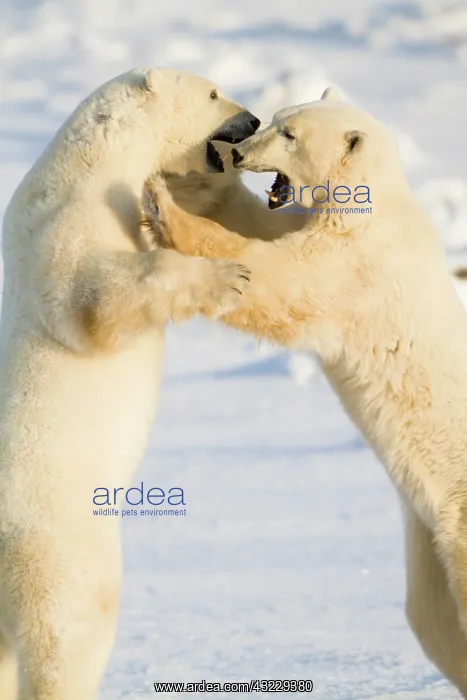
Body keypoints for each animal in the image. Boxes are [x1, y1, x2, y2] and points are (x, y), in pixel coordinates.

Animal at [0, 66, 263, 700]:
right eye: (214, 93)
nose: (253, 120)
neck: (91, 159)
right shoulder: (67, 220)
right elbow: (95, 294)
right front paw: (228, 275)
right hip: (55, 547)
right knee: (69, 632)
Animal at [143, 89, 467, 697]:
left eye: (291, 135)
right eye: (275, 120)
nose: (240, 150)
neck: (377, 205)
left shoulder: (355, 268)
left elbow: (277, 281)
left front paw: (162, 203)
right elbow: (263, 227)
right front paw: (192, 178)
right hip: (427, 538)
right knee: (431, 620)